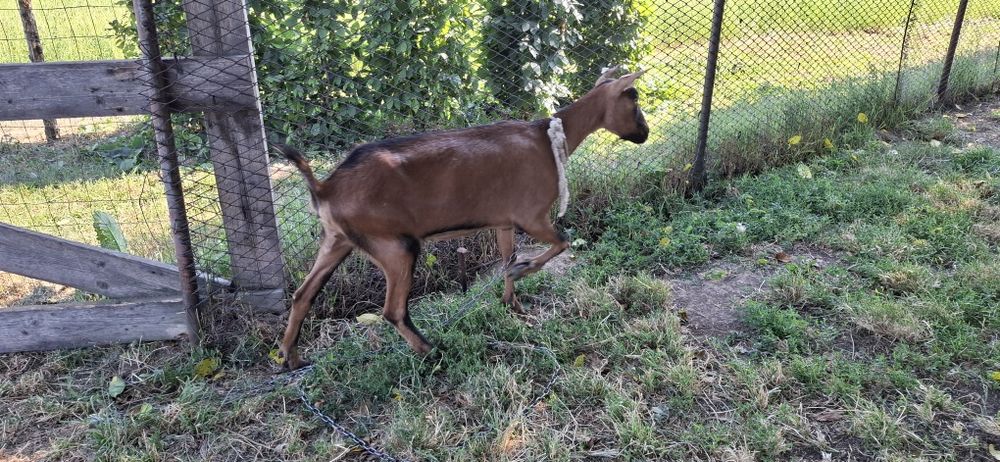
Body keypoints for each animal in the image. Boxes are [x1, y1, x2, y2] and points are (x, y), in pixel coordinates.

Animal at [274, 67, 649, 370]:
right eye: (633, 100)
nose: (644, 134)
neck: (549, 138)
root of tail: (325, 188)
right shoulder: (532, 216)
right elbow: (562, 243)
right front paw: (523, 271)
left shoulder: (504, 221)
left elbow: (507, 256)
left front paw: (514, 304)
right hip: (394, 245)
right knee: (393, 310)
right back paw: (431, 351)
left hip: (337, 239)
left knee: (303, 295)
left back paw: (292, 357)